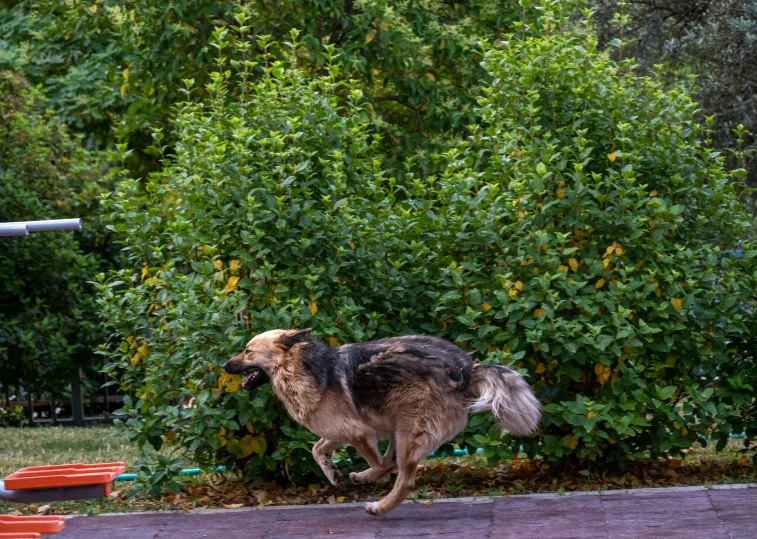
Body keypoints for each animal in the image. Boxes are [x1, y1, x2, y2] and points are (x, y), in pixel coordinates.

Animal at [221, 326, 540, 516]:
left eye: (247, 351)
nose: (224, 365)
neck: (298, 366)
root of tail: (466, 369)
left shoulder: (358, 432)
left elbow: (378, 466)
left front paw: (364, 476)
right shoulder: (339, 429)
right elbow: (316, 449)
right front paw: (332, 473)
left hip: (408, 426)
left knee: (404, 478)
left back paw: (380, 505)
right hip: (400, 424)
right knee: (394, 460)